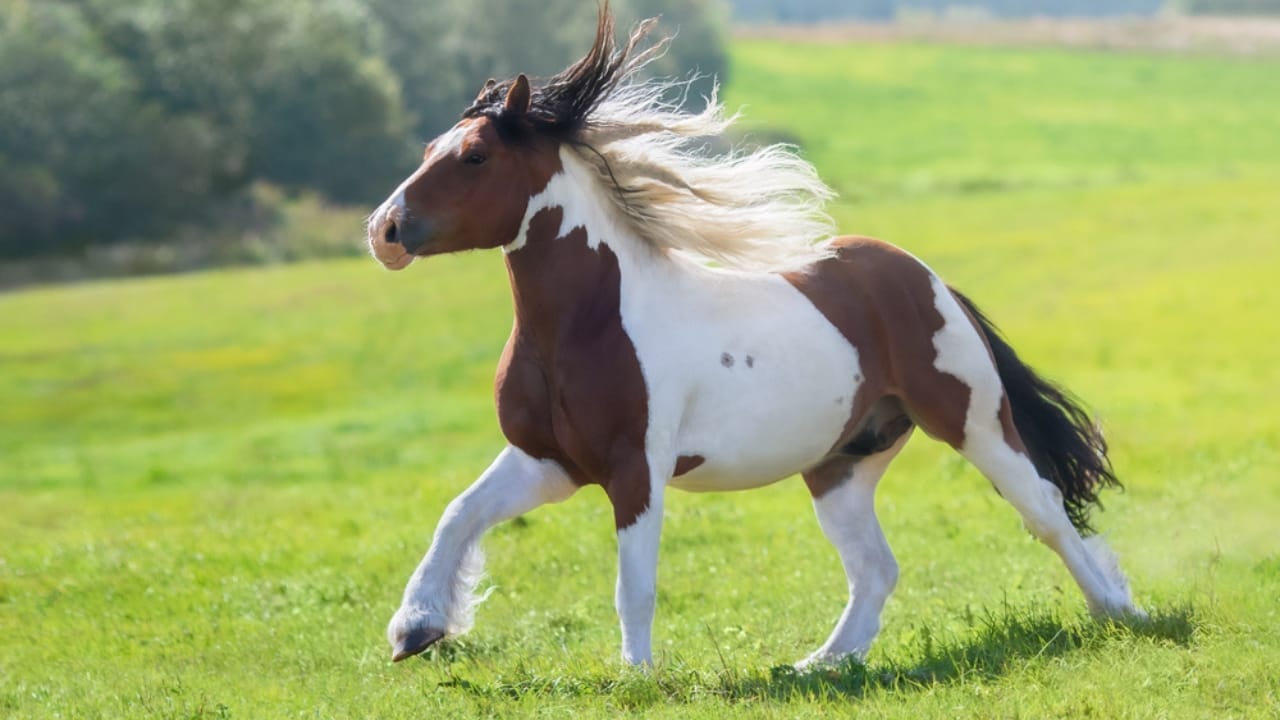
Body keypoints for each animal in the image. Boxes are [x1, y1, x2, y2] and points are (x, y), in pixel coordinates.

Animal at [366, 9, 1141, 669]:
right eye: (430, 147)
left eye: (474, 157)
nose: (385, 231)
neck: (586, 325)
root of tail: (926, 279)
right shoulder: (547, 461)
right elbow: (459, 514)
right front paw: (416, 630)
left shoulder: (635, 469)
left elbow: (633, 584)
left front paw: (637, 678)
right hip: (842, 463)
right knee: (877, 568)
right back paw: (821, 665)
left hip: (973, 422)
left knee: (1046, 511)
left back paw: (1122, 613)